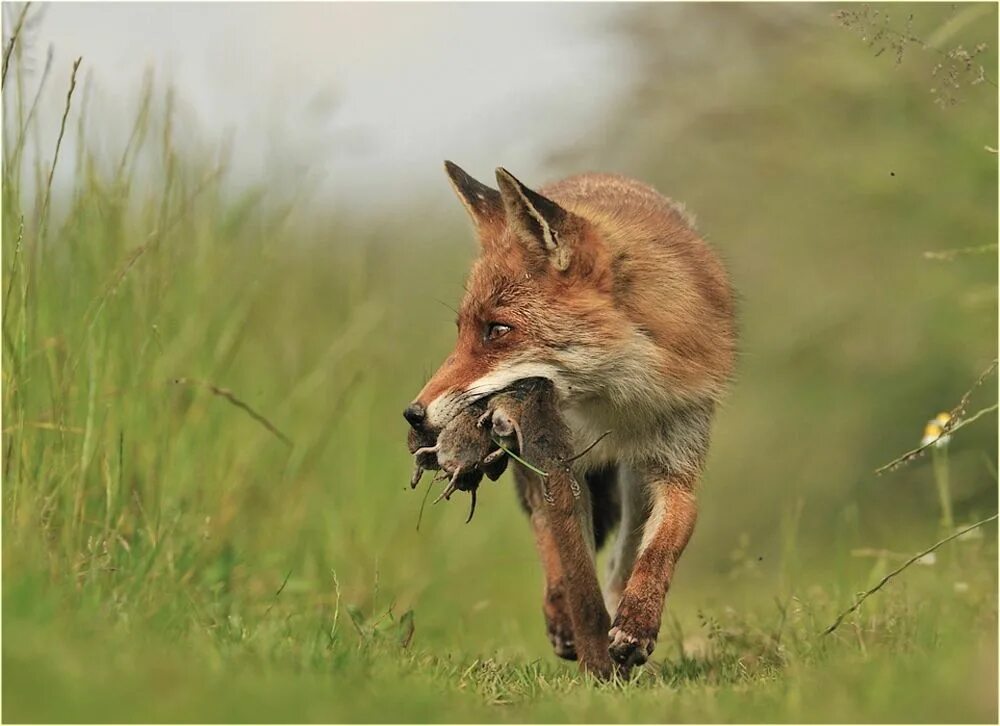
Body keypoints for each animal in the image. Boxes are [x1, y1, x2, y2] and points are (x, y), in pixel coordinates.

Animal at [402, 161, 740, 672]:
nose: (414, 415)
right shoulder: (557, 464)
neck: (615, 402)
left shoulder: (677, 458)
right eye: (461, 332)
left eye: (497, 330)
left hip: (632, 481)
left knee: (622, 554)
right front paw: (586, 638)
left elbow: (663, 544)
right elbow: (567, 559)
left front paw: (636, 624)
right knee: (549, 540)